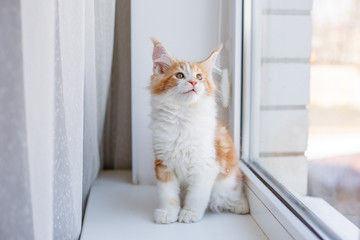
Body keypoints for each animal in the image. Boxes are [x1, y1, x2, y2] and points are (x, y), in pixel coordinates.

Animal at [150, 39, 249, 223]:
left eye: (199, 77)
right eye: (180, 75)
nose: (193, 83)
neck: (182, 117)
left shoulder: (205, 164)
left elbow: (196, 196)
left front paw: (189, 214)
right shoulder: (163, 164)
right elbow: (168, 196)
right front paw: (168, 214)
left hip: (226, 184)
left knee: (229, 195)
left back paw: (240, 205)